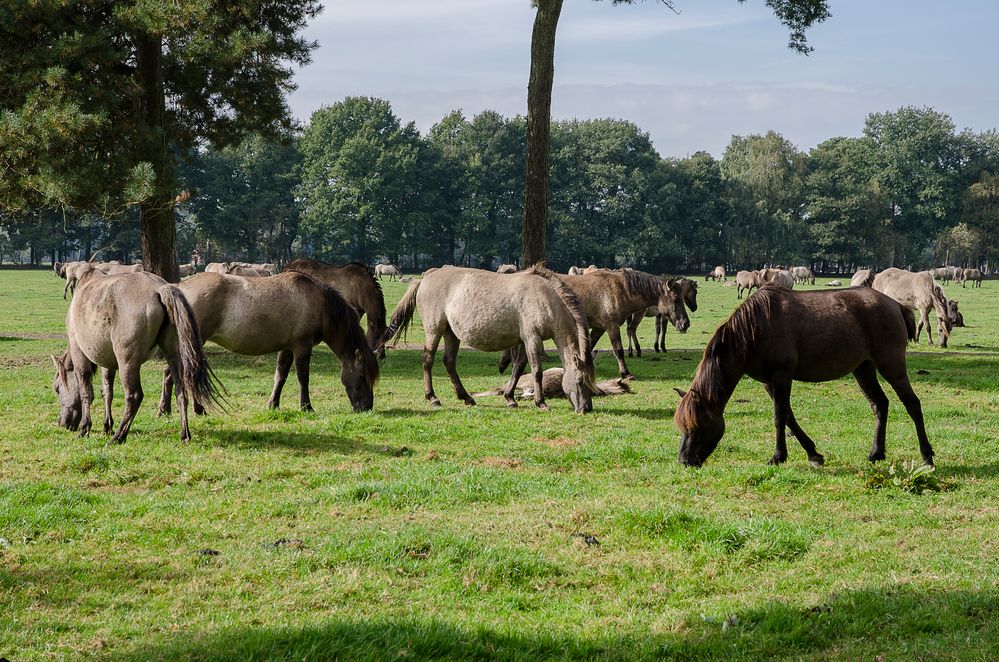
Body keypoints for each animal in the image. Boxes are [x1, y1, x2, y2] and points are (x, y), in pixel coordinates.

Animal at [51, 266, 222, 446]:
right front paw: (107, 425)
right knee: (181, 391)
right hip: (174, 356)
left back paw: (118, 436)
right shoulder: (107, 361)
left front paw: (85, 427)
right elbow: (107, 391)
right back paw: (184, 434)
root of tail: (159, 289)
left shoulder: (79, 354)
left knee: (134, 396)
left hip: (127, 362)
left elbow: (85, 391)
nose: (62, 423)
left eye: (57, 388)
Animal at [160, 270, 378, 416]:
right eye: (361, 376)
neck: (319, 303)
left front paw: (273, 404)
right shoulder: (302, 347)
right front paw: (306, 406)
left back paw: (173, 409)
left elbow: (280, 376)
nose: (367, 407)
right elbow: (303, 378)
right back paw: (178, 409)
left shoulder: (287, 348)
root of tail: (179, 288)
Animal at [386, 266, 596, 416]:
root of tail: (426, 277)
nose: (586, 408)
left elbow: (518, 369)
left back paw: (466, 397)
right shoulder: (532, 338)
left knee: (449, 362)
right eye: (579, 381)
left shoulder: (523, 341)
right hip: (434, 330)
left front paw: (510, 399)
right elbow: (537, 371)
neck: (544, 297)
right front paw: (541, 403)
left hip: (451, 333)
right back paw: (432, 398)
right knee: (428, 360)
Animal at [672, 286, 936, 472]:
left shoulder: (782, 376)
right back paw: (876, 453)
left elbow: (779, 417)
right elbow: (789, 417)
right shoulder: (769, 382)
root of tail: (895, 305)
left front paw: (778, 457)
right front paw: (814, 454)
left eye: (696, 425)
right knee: (880, 405)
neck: (756, 327)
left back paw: (927, 456)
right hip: (864, 369)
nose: (684, 461)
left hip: (891, 366)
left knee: (912, 404)